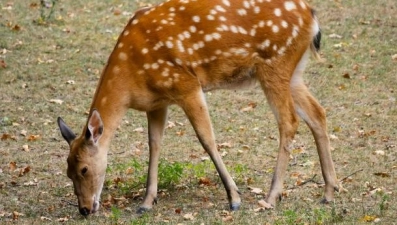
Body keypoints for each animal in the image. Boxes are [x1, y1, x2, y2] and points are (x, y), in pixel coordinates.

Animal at [57, 0, 338, 216]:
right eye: (68, 172)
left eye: (83, 169)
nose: (84, 209)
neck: (130, 80)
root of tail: (311, 16)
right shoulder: (157, 102)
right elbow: (154, 145)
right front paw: (147, 202)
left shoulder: (186, 84)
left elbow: (206, 139)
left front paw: (234, 197)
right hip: (293, 71)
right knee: (318, 112)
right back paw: (329, 191)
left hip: (274, 64)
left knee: (289, 121)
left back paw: (271, 196)